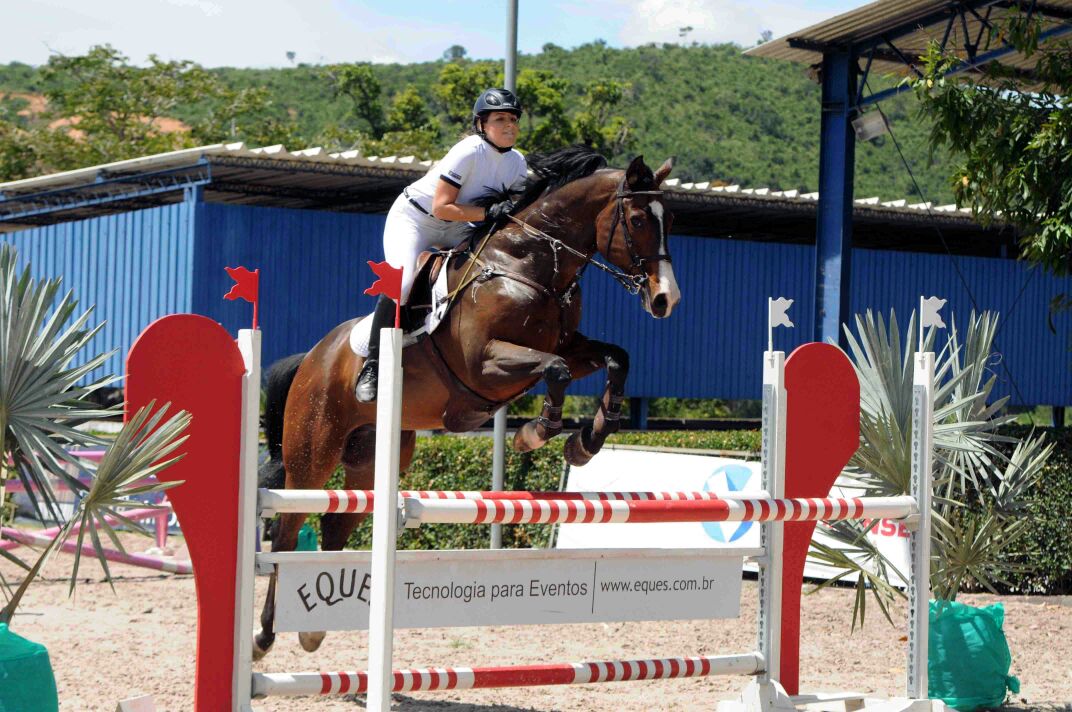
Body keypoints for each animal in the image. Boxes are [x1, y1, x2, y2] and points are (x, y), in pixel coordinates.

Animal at [253, 146, 680, 659]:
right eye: (637, 219)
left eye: (670, 219)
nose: (665, 299)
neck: (529, 266)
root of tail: (313, 358)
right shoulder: (485, 363)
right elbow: (555, 369)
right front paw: (536, 433)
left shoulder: (571, 346)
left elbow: (615, 358)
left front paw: (587, 441)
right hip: (313, 452)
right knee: (286, 532)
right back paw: (264, 635)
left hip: (373, 456)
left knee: (337, 526)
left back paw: (313, 631)